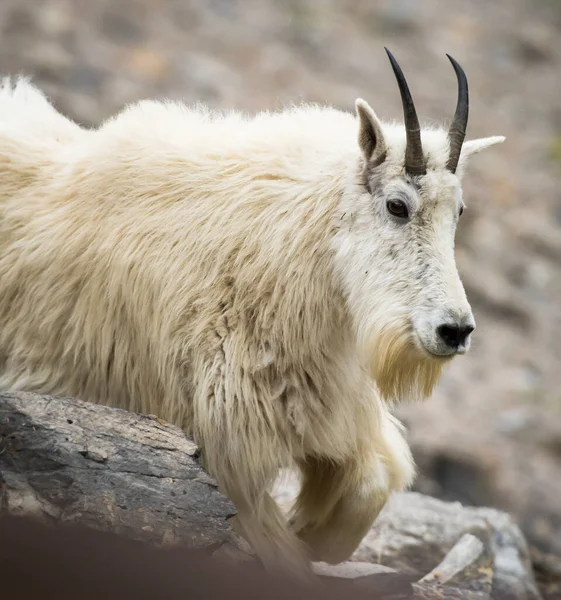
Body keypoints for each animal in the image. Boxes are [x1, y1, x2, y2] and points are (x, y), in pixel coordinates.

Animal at [0, 49, 504, 576]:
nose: (454, 330)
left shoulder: (328, 409)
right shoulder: (223, 447)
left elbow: (368, 486)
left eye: (459, 212)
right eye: (397, 205)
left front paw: (311, 530)